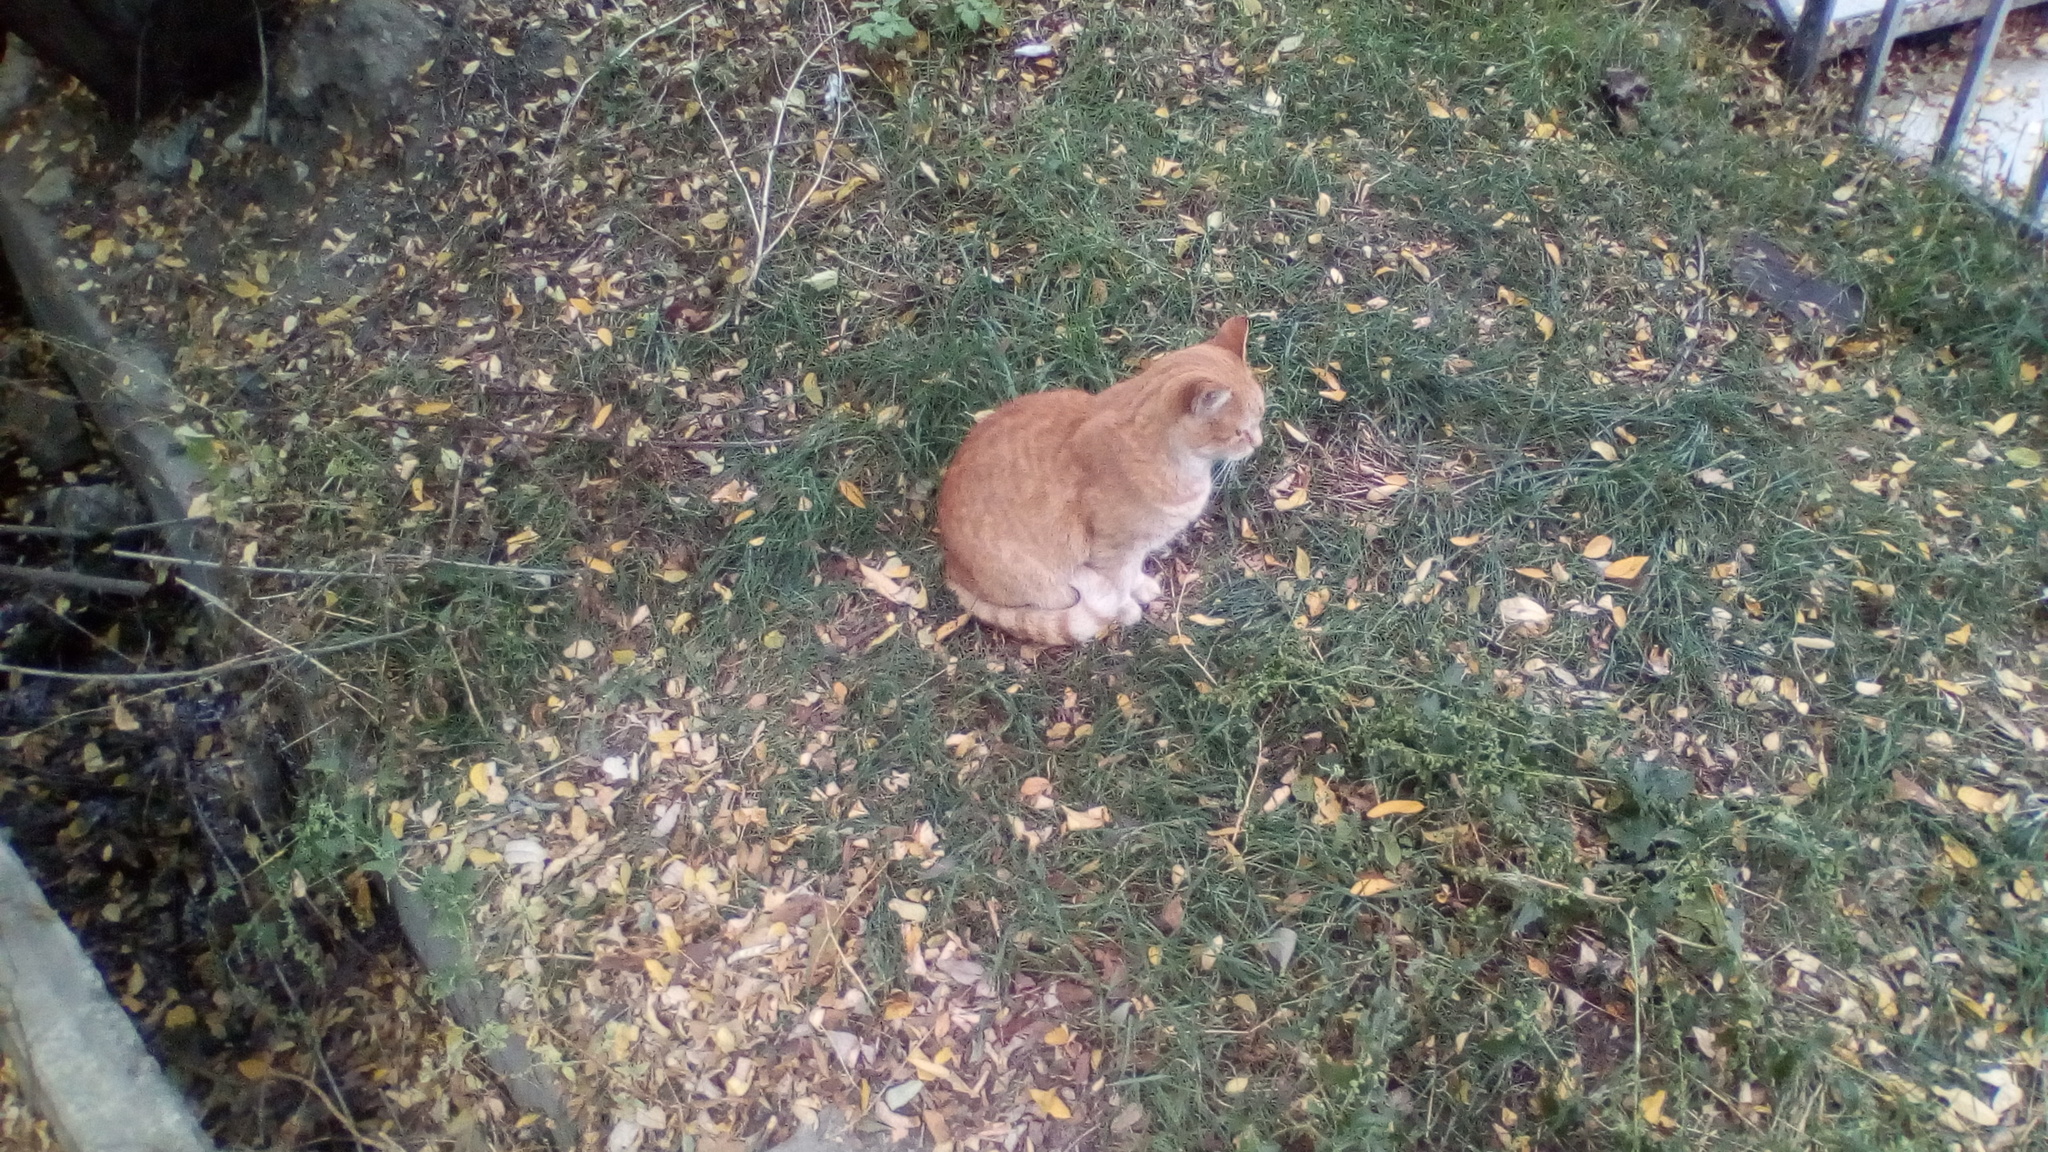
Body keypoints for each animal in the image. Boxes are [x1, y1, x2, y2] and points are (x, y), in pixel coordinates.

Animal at [933, 317, 1253, 639]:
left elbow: (1131, 574)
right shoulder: (1113, 551)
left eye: (1259, 418)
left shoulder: (1134, 549)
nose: (1257, 442)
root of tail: (951, 568)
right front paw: (1124, 610)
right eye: (1239, 432)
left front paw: (1141, 587)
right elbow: (1117, 585)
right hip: (1047, 583)